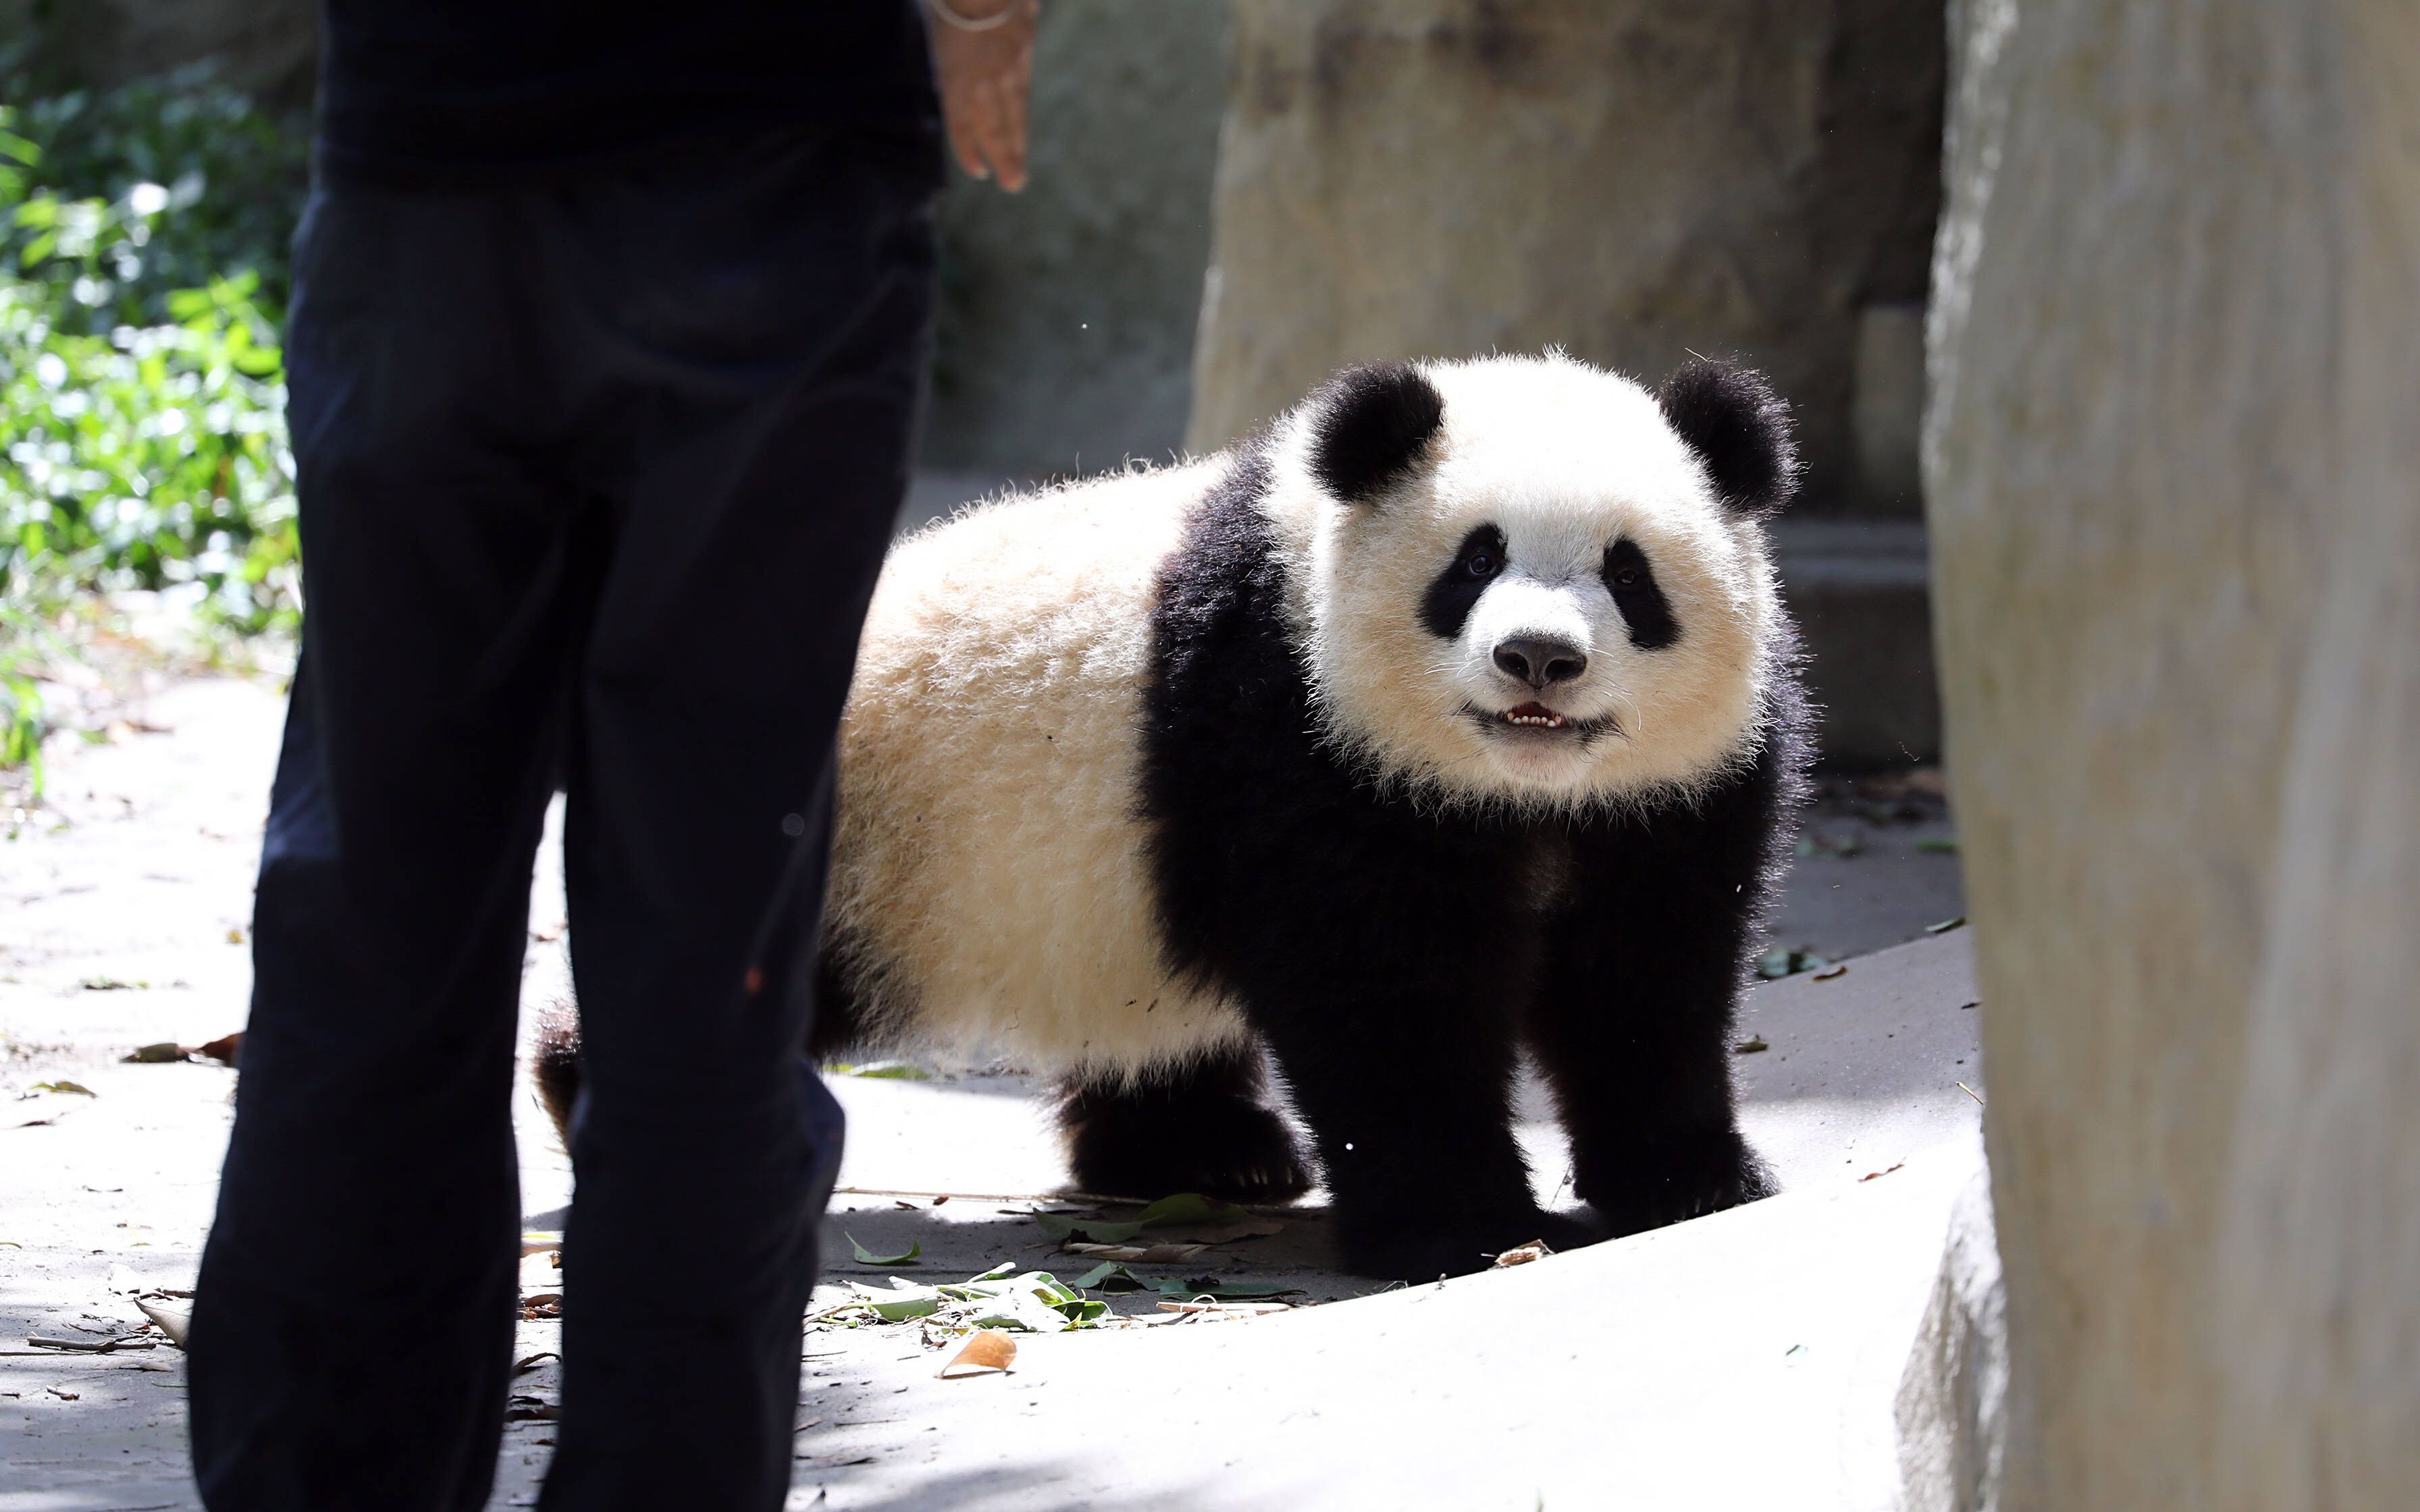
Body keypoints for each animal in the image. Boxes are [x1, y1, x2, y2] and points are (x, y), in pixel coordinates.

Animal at [540, 350, 1810, 1277]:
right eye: (1470, 564)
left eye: (1628, 574)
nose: (1537, 659)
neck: (1514, 791)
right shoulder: (1292, 728)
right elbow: (1385, 997)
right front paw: (1465, 1226)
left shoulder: (1668, 795)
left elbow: (1640, 979)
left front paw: (1690, 1179)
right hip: (869, 842)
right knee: (747, 967)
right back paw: (607, 1105)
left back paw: (1208, 1154)